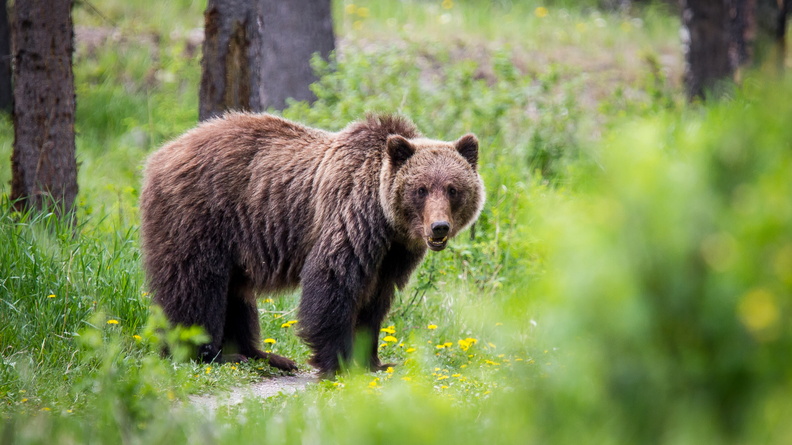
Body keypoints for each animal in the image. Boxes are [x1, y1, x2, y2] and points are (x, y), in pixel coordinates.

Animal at [139, 113, 485, 376]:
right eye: (421, 189)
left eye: (453, 189)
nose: (439, 227)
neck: (386, 221)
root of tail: (160, 154)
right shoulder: (349, 219)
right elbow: (332, 283)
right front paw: (339, 362)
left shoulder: (391, 255)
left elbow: (374, 302)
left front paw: (375, 361)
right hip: (201, 215)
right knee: (196, 283)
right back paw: (204, 352)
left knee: (236, 293)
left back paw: (264, 356)